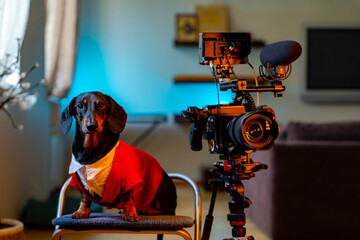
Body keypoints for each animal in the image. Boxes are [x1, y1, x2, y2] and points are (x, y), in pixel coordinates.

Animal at [61, 91, 178, 221]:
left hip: (162, 191)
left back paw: (147, 210)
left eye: (101, 104)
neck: (91, 152)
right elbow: (85, 198)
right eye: (80, 105)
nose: (91, 126)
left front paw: (130, 213)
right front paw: (82, 211)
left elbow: (128, 199)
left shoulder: (128, 178)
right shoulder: (80, 182)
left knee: (168, 211)